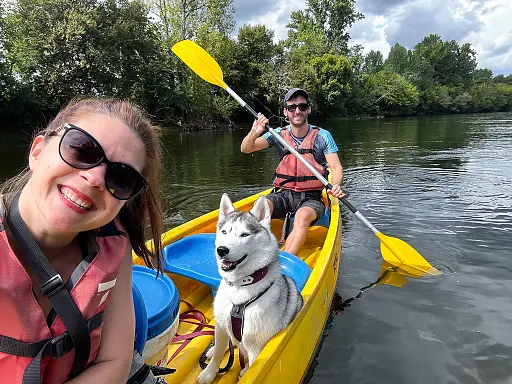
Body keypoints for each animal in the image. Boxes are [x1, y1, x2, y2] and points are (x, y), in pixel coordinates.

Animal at [195, 195, 300, 384]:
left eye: (245, 235)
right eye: (224, 232)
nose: (221, 250)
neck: (241, 285)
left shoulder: (255, 342)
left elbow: (253, 366)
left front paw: (245, 372)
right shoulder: (221, 325)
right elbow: (218, 354)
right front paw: (209, 373)